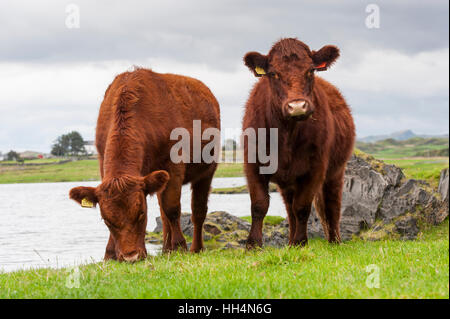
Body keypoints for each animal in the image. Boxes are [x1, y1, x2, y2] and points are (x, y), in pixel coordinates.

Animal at [68, 67, 220, 262]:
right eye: (107, 221)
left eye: (141, 213)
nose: (130, 257)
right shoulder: (103, 163)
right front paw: (109, 254)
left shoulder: (174, 165)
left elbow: (172, 208)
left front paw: (180, 247)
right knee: (163, 212)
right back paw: (166, 249)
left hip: (206, 171)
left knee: (198, 210)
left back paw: (195, 248)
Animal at [243, 37, 356, 248]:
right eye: (273, 73)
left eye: (310, 70)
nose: (297, 106)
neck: (286, 134)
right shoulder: (253, 164)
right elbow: (259, 205)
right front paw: (253, 245)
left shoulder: (315, 168)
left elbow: (303, 207)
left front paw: (301, 242)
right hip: (288, 183)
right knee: (290, 209)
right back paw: (289, 243)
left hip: (336, 171)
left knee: (331, 205)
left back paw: (334, 241)